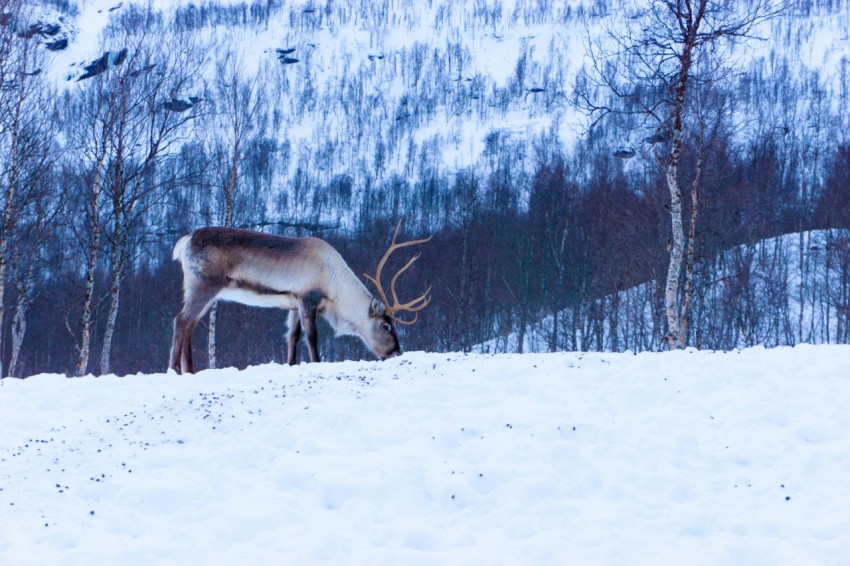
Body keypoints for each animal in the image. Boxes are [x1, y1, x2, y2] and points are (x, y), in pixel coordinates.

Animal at [169, 221, 431, 374]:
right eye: (386, 326)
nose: (396, 352)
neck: (334, 287)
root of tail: (185, 242)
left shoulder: (292, 304)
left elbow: (292, 337)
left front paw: (291, 364)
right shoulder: (308, 299)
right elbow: (312, 337)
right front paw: (317, 363)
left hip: (204, 291)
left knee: (190, 323)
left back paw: (190, 370)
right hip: (204, 285)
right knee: (181, 320)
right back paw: (175, 370)